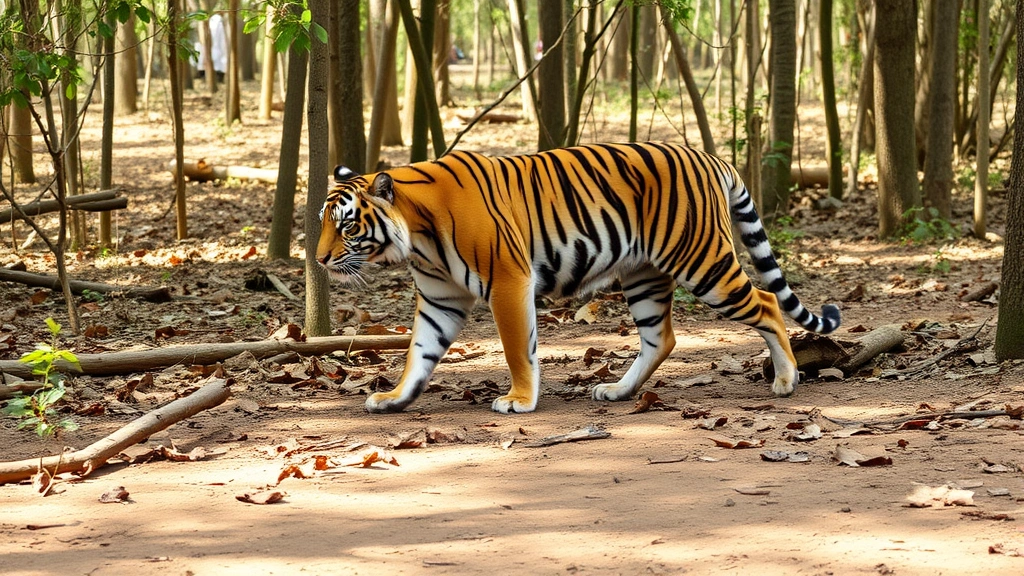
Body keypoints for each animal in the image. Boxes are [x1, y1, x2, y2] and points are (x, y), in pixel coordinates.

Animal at [316, 142, 840, 414]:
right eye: (324, 222)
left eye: (346, 226)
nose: (319, 259)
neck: (417, 235)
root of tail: (713, 157)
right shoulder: (441, 299)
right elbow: (418, 353)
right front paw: (394, 398)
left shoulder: (509, 280)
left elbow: (517, 348)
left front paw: (519, 400)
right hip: (644, 275)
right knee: (662, 338)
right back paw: (618, 391)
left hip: (702, 260)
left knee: (767, 303)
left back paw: (786, 380)